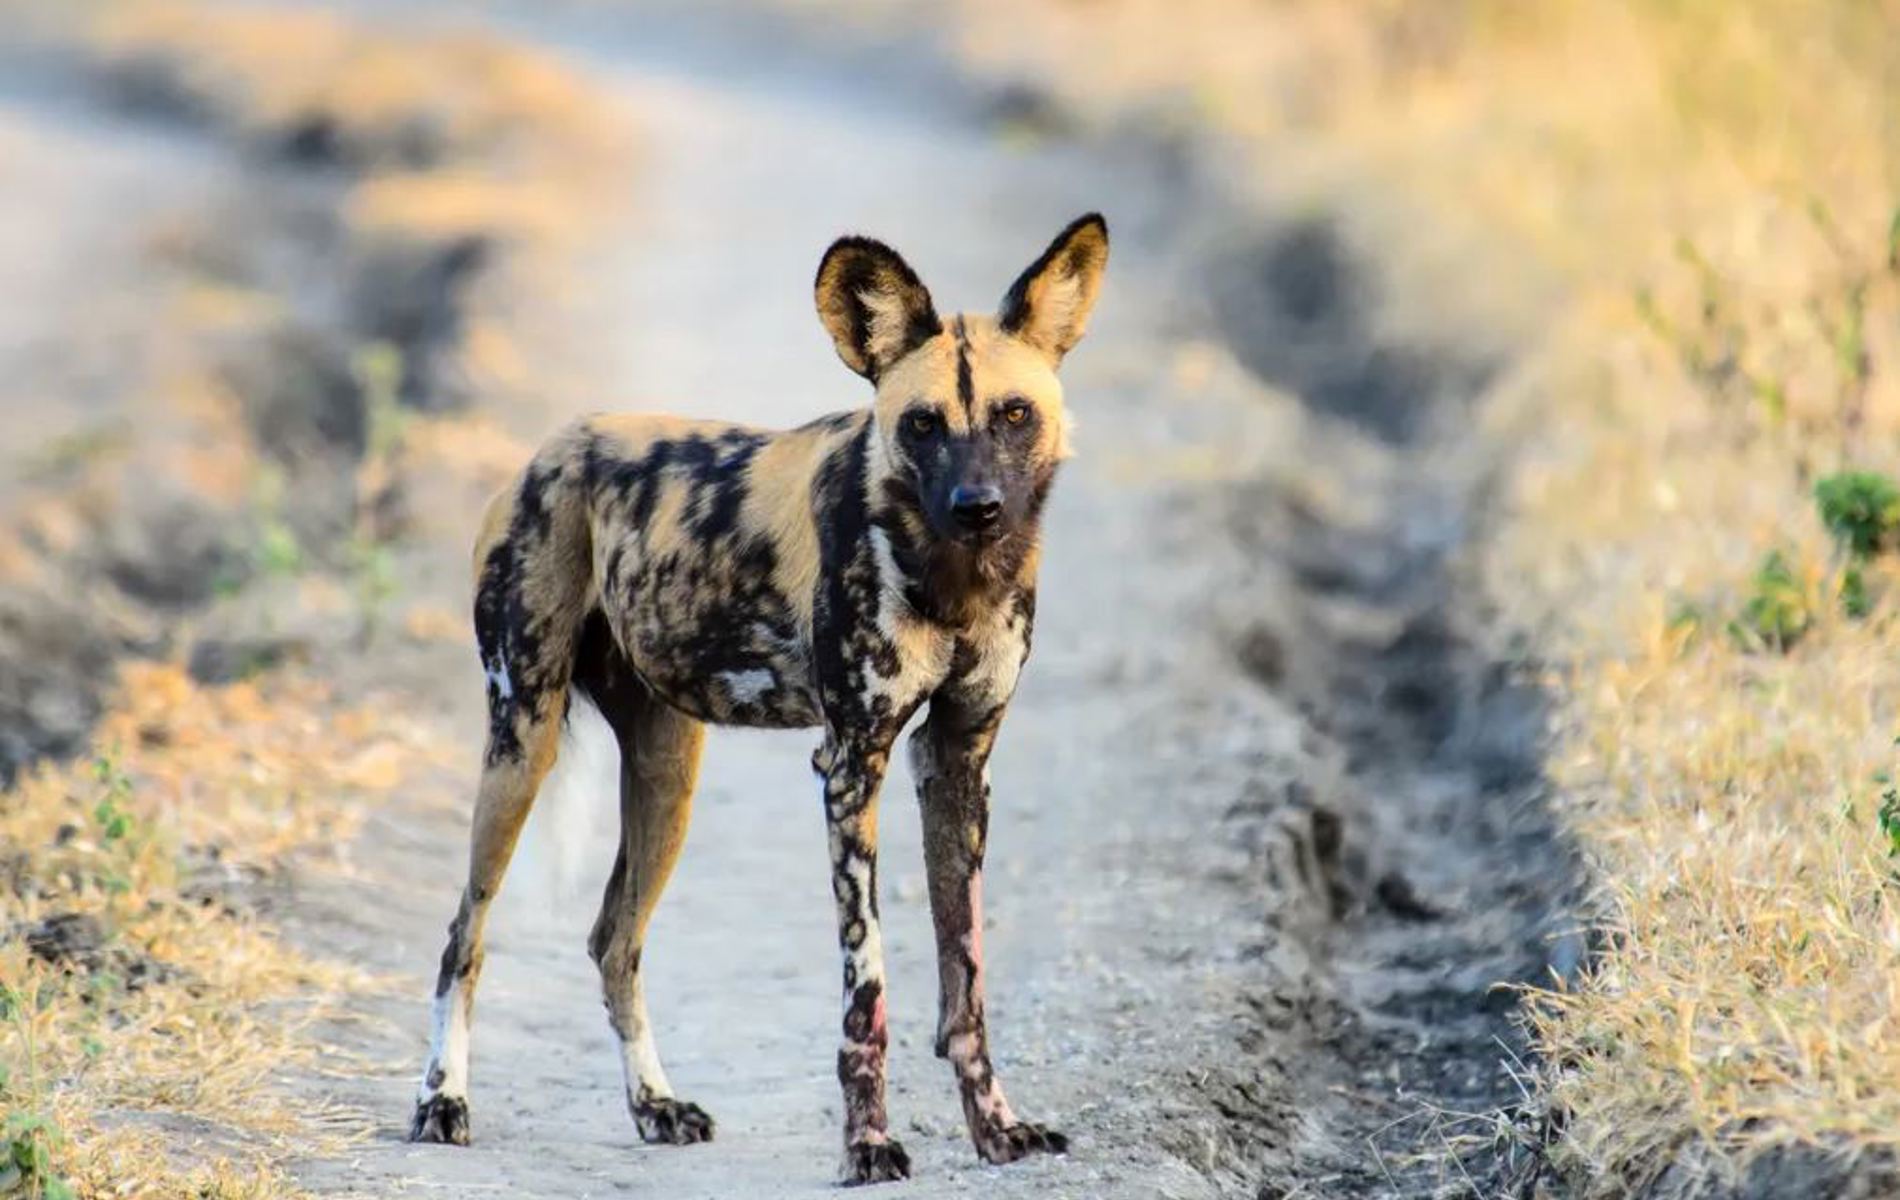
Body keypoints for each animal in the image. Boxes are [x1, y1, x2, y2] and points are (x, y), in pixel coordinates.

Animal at [408, 213, 1109, 1183]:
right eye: (924, 424)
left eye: (1015, 415)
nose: (979, 506)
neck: (954, 576)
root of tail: (551, 448)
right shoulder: (851, 765)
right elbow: (868, 994)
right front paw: (869, 1145)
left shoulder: (957, 762)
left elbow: (965, 982)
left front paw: (998, 1129)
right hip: (523, 741)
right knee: (462, 938)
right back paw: (443, 1101)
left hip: (668, 777)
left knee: (613, 941)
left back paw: (654, 1105)